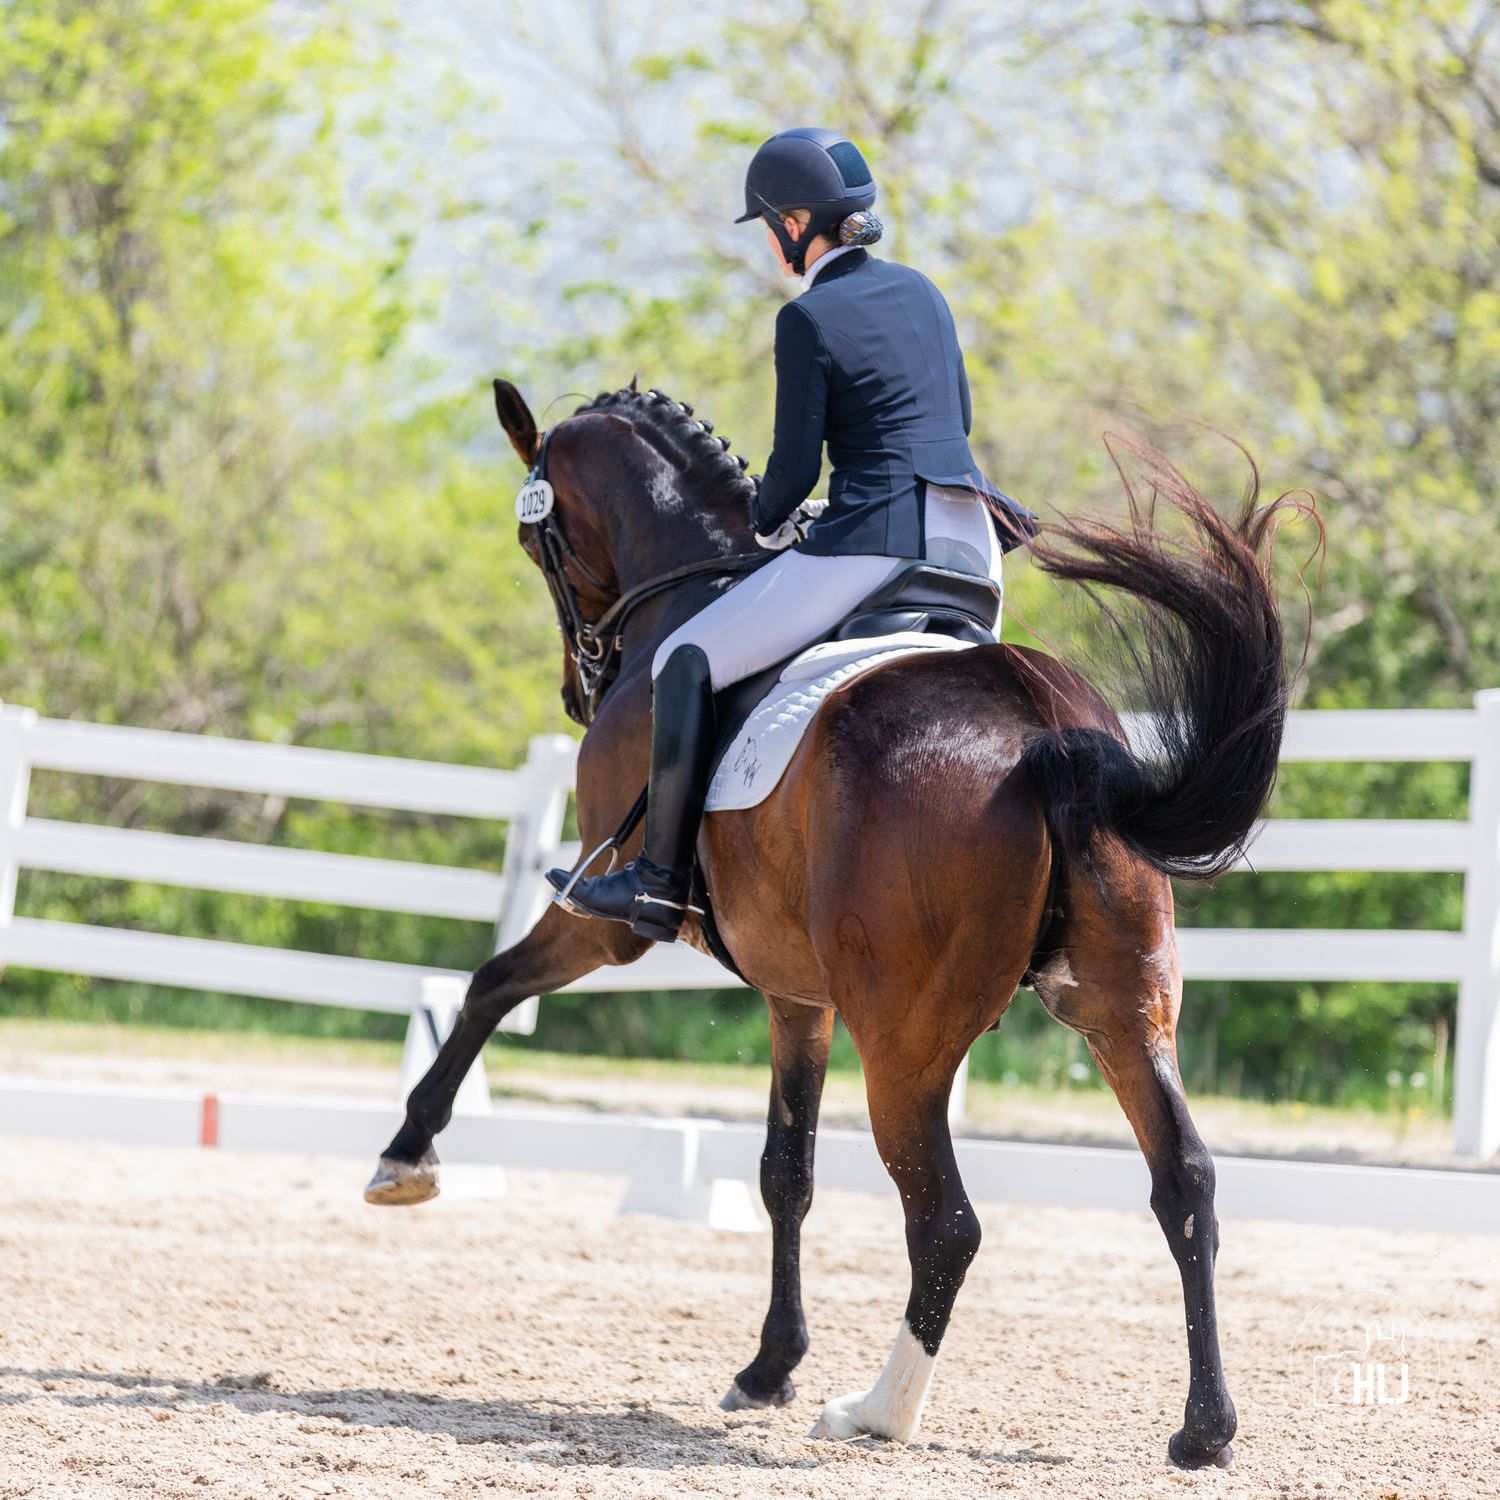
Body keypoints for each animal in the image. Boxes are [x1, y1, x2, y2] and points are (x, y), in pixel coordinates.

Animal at [365, 377, 1310, 1470]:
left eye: (537, 541)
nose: (577, 686)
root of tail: (1043, 727)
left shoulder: (608, 926)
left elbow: (489, 984)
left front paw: (406, 1155)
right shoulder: (796, 995)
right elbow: (786, 1173)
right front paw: (767, 1367)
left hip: (905, 1045)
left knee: (947, 1223)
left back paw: (878, 1412)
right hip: (1123, 1011)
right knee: (1185, 1185)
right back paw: (1205, 1428)